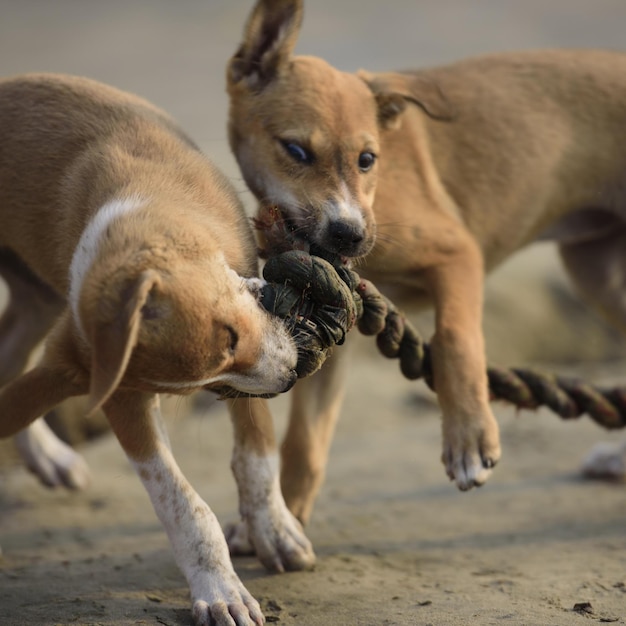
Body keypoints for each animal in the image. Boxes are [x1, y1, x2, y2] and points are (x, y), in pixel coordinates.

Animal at [0, 73, 314, 624]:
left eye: (230, 337)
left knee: (11, 352)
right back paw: (45, 453)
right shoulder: (125, 399)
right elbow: (182, 505)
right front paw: (219, 588)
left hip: (39, 298)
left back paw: (46, 456)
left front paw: (272, 529)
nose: (289, 379)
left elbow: (256, 451)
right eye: (219, 362)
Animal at [227, 0, 624, 524]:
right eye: (295, 150)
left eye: (367, 158)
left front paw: (470, 438)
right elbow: (305, 442)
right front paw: (286, 521)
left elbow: (455, 336)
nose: (350, 236)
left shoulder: (457, 255)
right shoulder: (334, 323)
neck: (378, 197)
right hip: (598, 274)